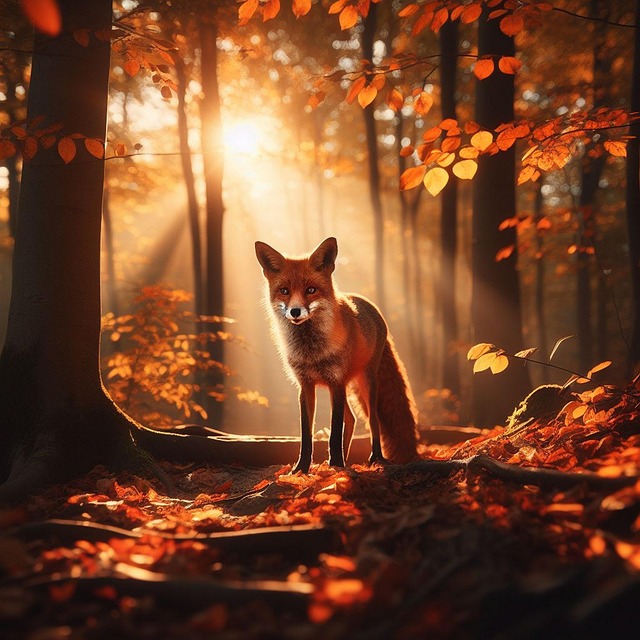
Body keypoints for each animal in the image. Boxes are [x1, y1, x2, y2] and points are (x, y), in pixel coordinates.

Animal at [255, 236, 419, 473]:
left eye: (311, 289)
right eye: (284, 291)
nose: (295, 311)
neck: (312, 352)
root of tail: (370, 305)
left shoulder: (337, 382)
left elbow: (334, 432)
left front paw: (336, 465)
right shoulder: (305, 385)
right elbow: (307, 434)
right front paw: (302, 469)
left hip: (367, 383)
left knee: (372, 420)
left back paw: (374, 458)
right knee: (351, 419)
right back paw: (346, 459)